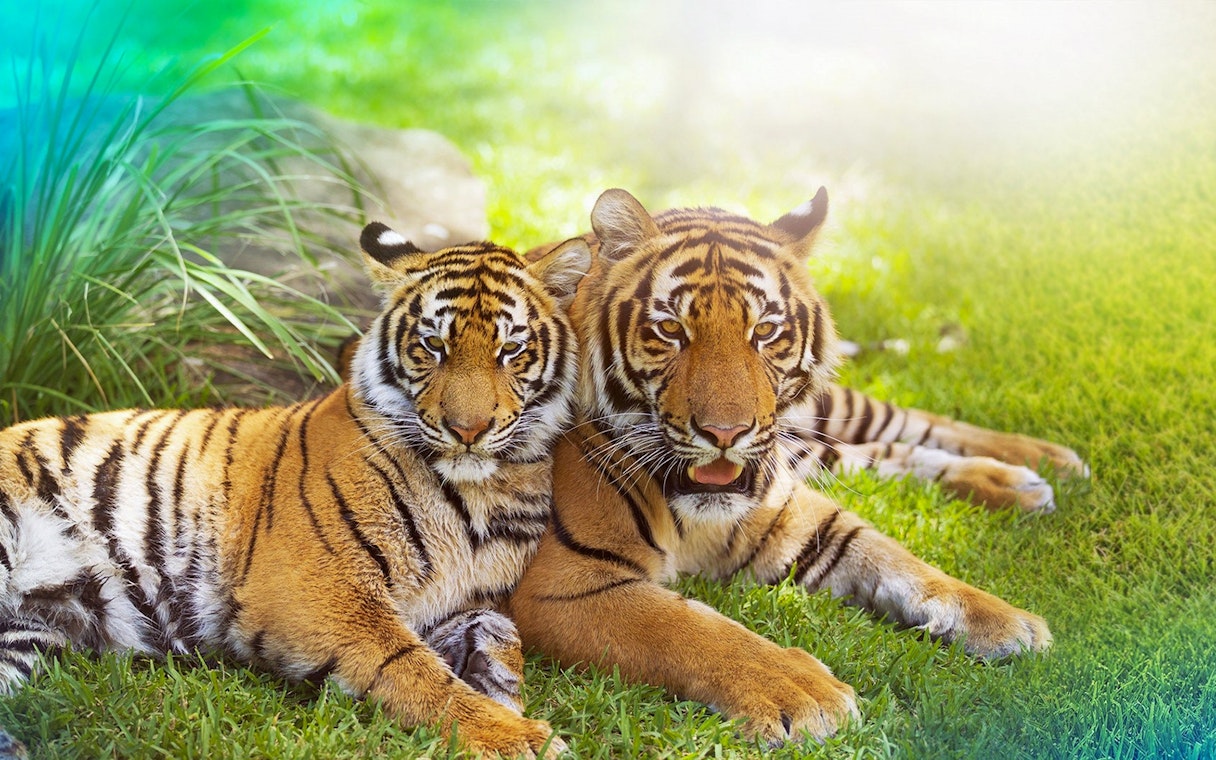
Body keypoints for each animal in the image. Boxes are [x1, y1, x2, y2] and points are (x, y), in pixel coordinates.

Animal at [0, 223, 592, 758]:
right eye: (432, 346)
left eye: (510, 350)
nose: (467, 430)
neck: (484, 490)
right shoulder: (318, 589)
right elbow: (413, 669)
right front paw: (517, 736)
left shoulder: (461, 601)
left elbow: (502, 633)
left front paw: (501, 688)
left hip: (28, 632)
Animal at [507, 187, 1082, 746]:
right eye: (670, 329)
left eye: (764, 331)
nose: (724, 433)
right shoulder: (564, 582)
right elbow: (688, 626)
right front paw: (801, 693)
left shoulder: (794, 516)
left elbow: (899, 560)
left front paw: (1006, 620)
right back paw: (1021, 480)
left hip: (825, 413)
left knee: (902, 421)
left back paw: (1043, 462)